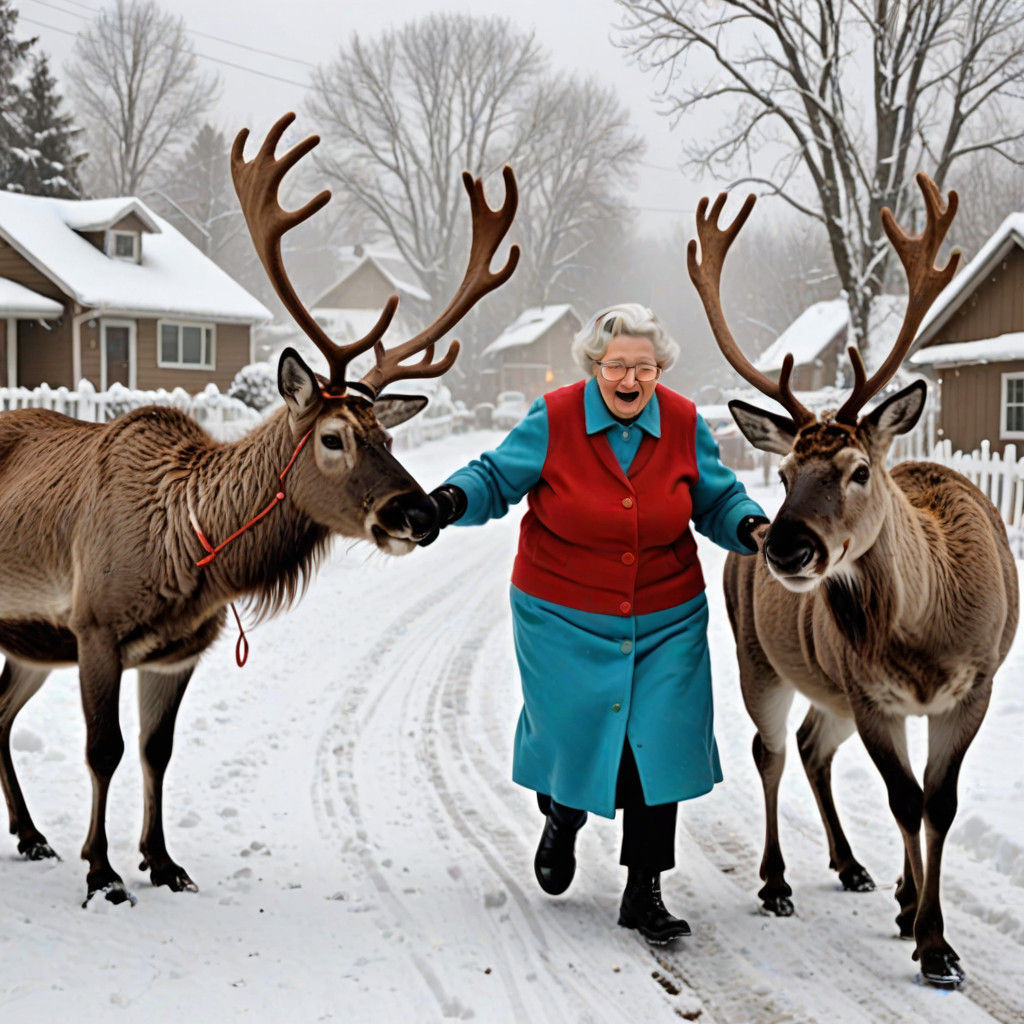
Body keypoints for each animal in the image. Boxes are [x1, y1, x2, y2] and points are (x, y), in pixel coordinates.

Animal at [0, 111, 519, 907]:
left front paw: (162, 861)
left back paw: (30, 834)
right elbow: (104, 750)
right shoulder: (93, 626)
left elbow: (156, 751)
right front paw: (103, 870)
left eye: (388, 434)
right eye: (334, 437)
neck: (188, 555)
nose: (420, 513)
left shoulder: (177, 651)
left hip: (27, 642)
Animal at [686, 174, 1018, 988]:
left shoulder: (975, 683)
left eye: (858, 469)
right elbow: (906, 799)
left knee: (813, 746)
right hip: (760, 659)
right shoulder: (872, 694)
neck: (925, 637)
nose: (785, 546)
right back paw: (777, 881)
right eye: (785, 472)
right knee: (772, 752)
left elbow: (939, 804)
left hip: (826, 683)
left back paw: (857, 867)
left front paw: (922, 922)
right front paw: (932, 941)